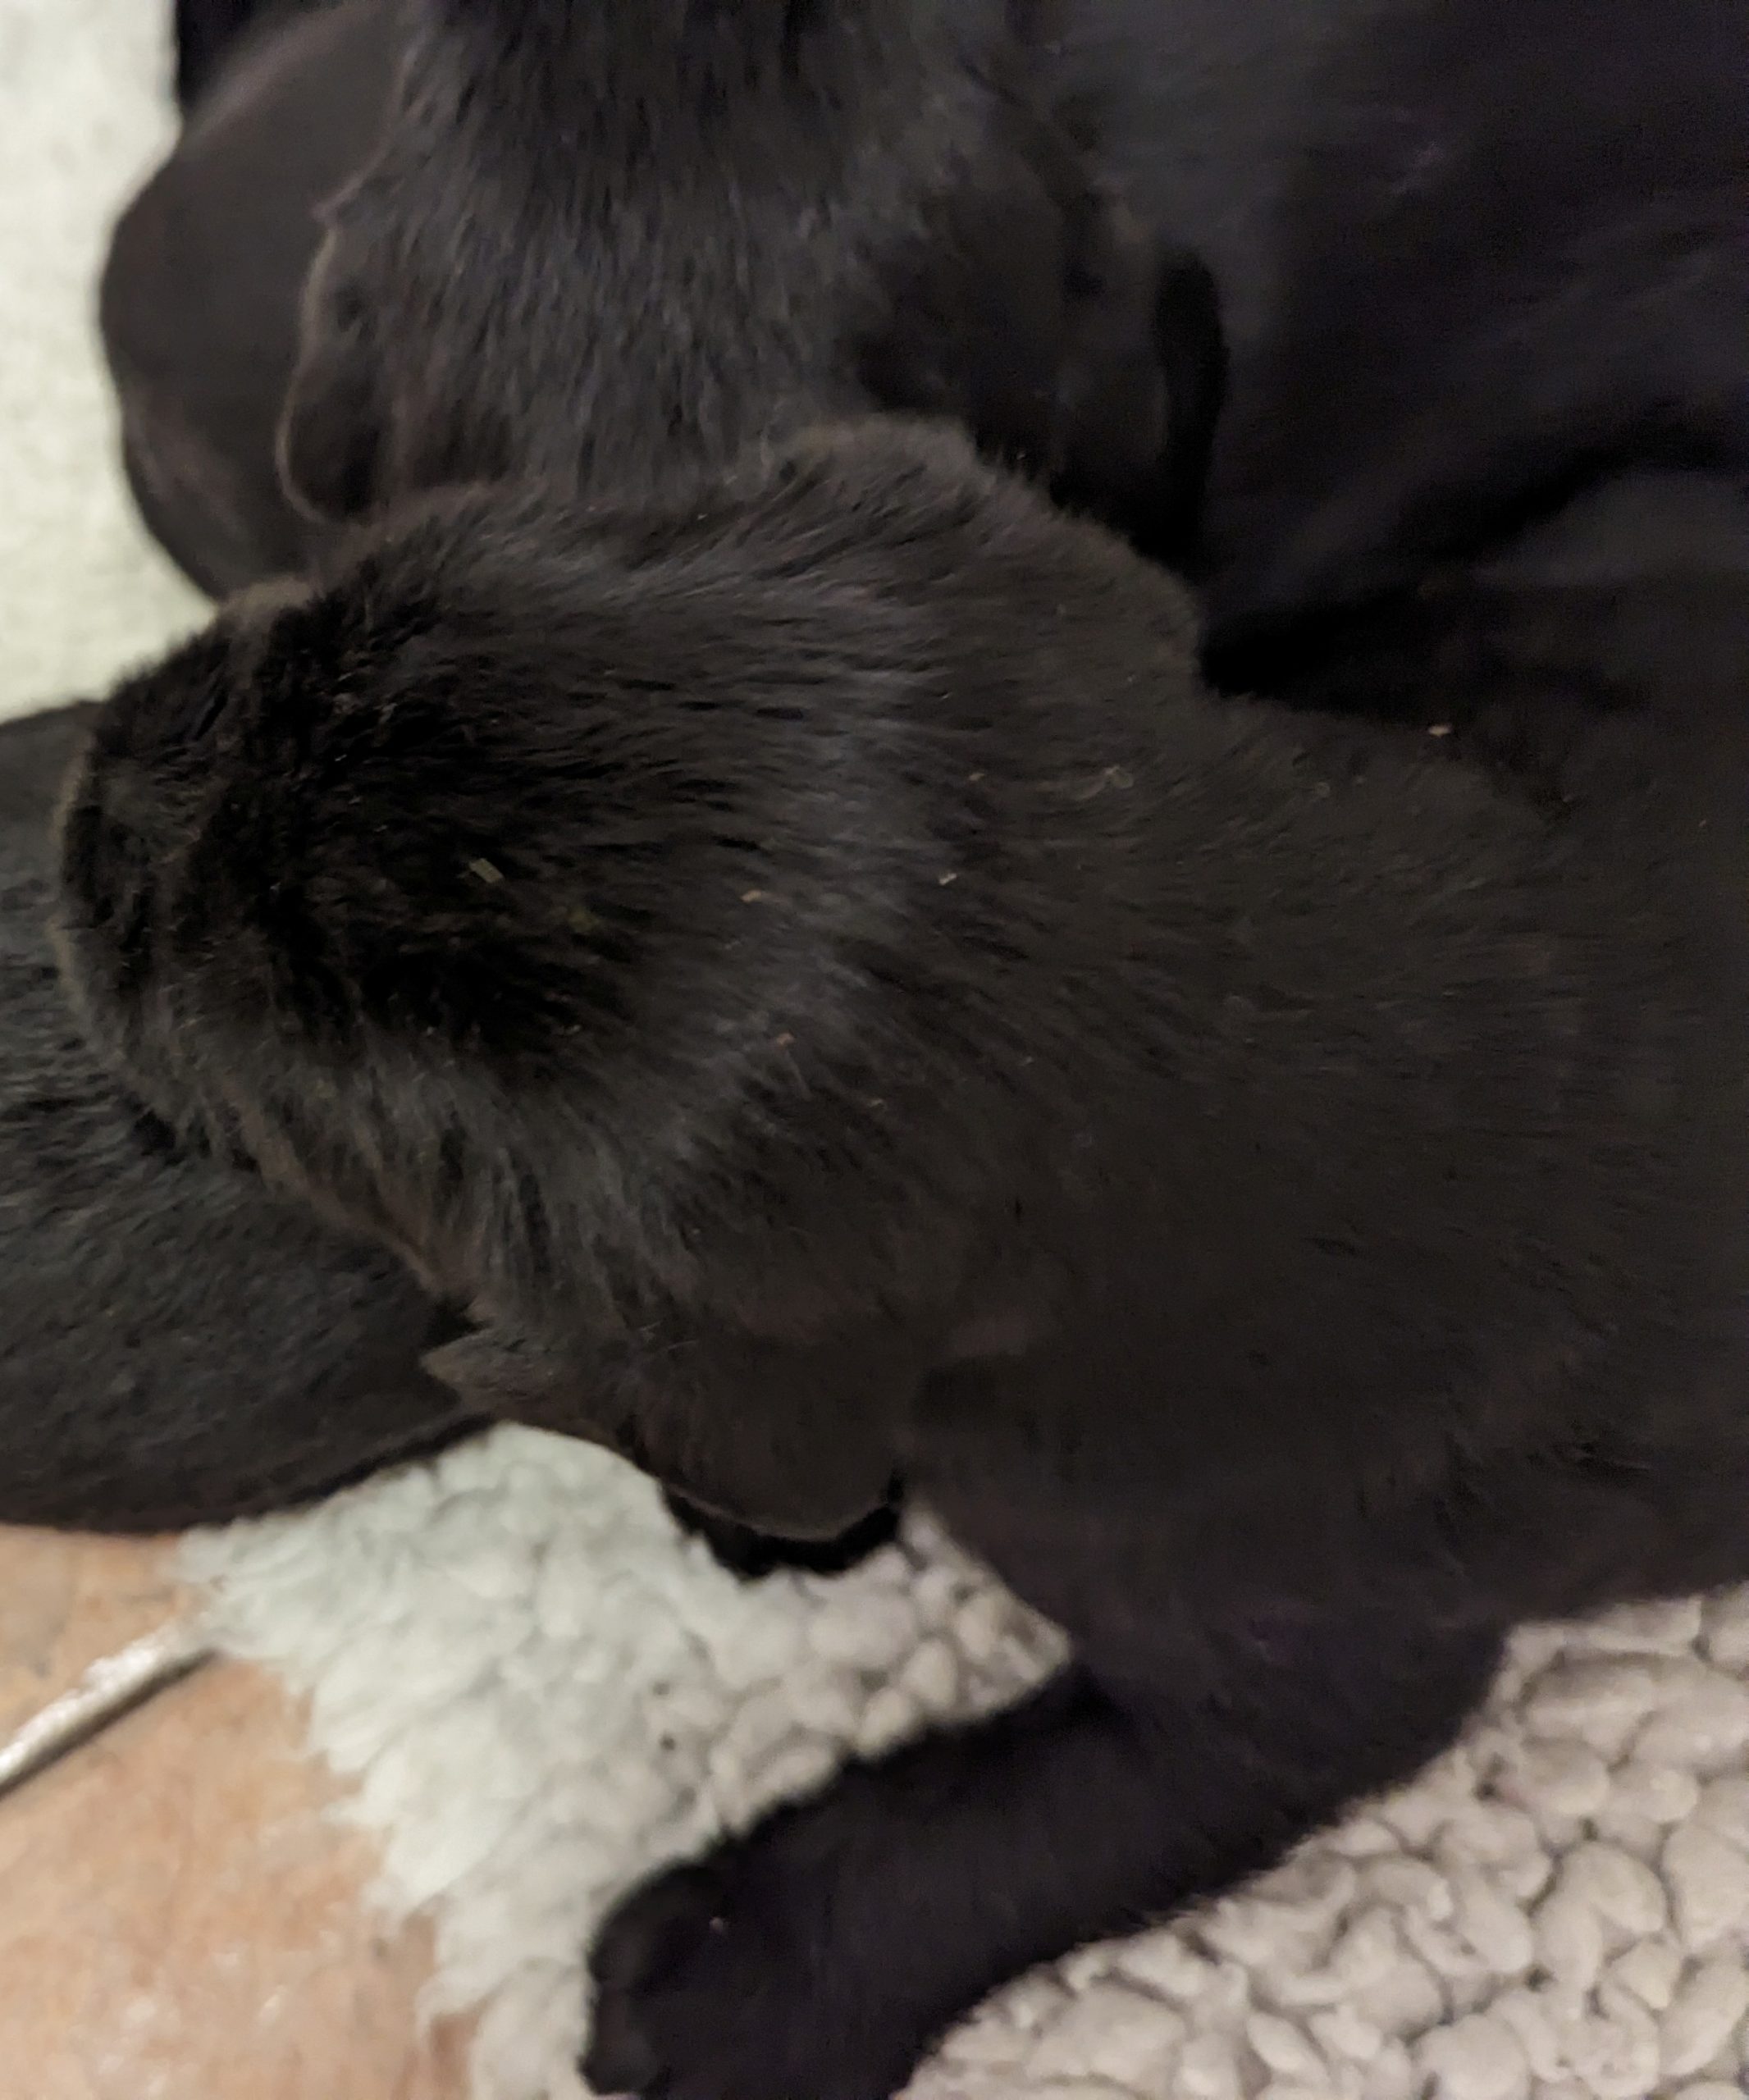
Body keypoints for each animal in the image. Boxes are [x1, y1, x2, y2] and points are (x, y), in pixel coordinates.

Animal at [59, 418, 1749, 2097]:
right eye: (319, 610)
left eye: (263, 1038)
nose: (92, 785)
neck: (1238, 1044)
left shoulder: (1306, 1671)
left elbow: (1015, 1822)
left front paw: (728, 1986)